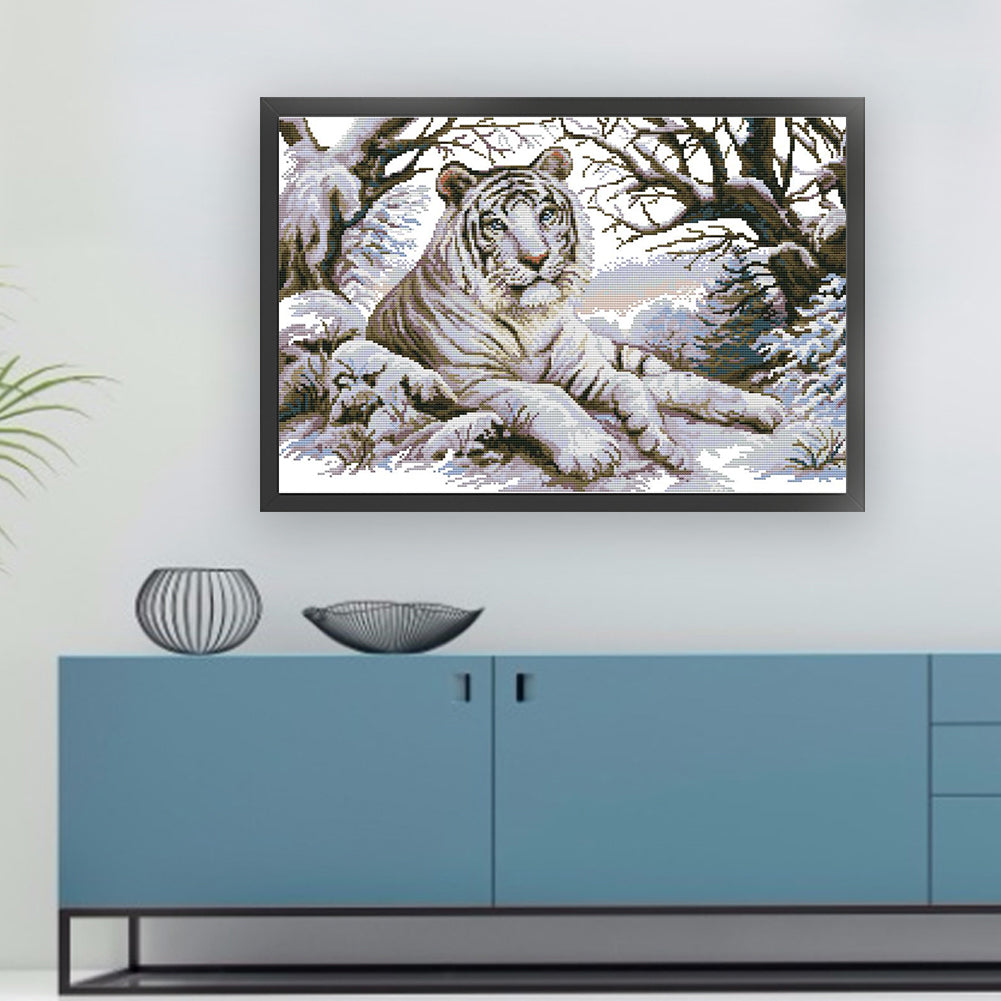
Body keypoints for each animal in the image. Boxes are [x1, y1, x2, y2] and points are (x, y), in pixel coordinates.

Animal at [366, 146, 785, 480]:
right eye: (496, 224)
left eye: (546, 214)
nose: (536, 259)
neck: (529, 318)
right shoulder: (471, 381)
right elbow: (544, 394)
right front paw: (593, 452)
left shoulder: (582, 368)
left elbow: (629, 385)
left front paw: (653, 435)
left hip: (622, 354)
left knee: (675, 380)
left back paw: (764, 408)